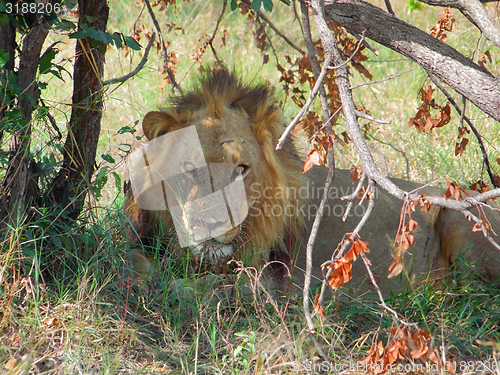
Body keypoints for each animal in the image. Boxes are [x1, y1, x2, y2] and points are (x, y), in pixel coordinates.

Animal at [124, 67, 500, 296]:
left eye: (241, 169)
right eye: (189, 168)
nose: (211, 223)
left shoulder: (264, 284)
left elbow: (199, 287)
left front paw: (168, 285)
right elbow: (134, 259)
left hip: (459, 215)